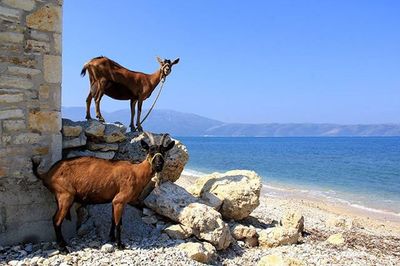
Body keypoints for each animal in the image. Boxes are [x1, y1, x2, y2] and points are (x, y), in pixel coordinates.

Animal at [31, 133, 175, 254]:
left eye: (164, 151)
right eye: (150, 150)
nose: (158, 165)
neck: (136, 172)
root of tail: (47, 175)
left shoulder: (114, 201)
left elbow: (113, 220)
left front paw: (111, 238)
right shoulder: (120, 200)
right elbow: (118, 223)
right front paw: (120, 245)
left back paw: (64, 244)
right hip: (65, 195)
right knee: (56, 220)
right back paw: (62, 248)